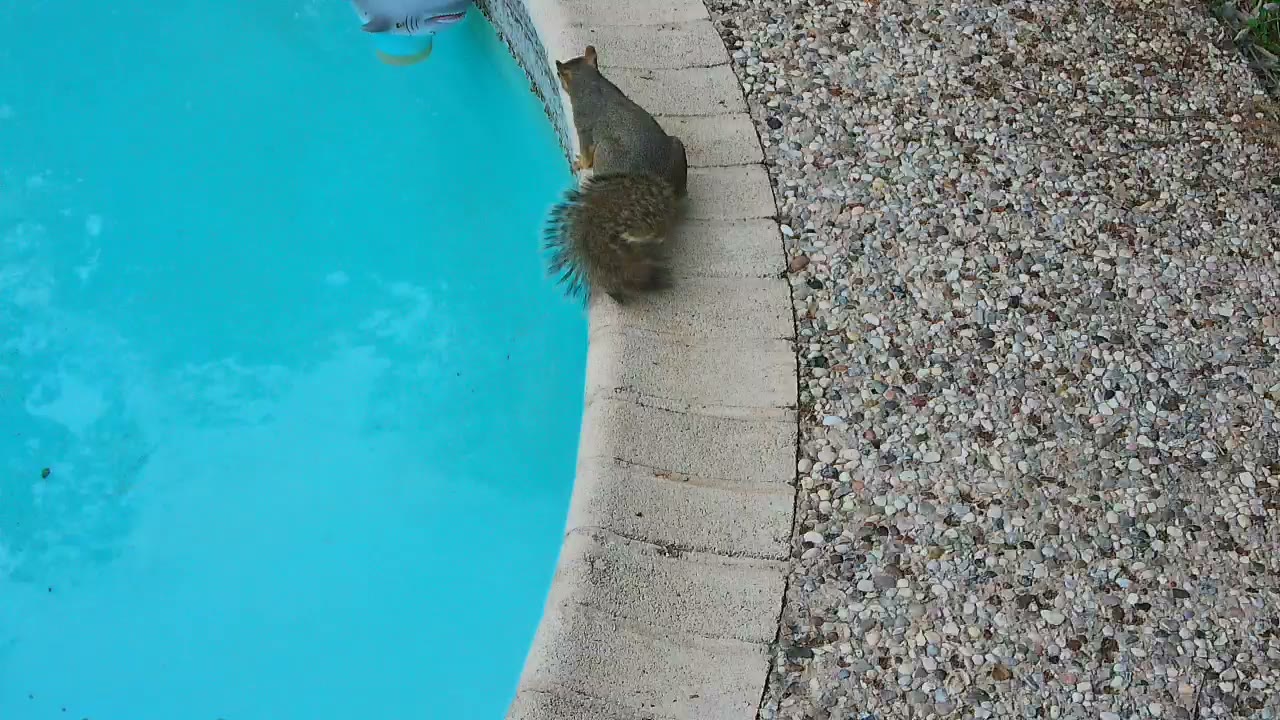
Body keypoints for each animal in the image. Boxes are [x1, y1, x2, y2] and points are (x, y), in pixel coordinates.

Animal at [544, 45, 689, 303]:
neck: (592, 84)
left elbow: (586, 150)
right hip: (676, 148)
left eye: (560, 74)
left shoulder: (584, 126)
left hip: (606, 153)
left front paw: (580, 162)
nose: (558, 75)